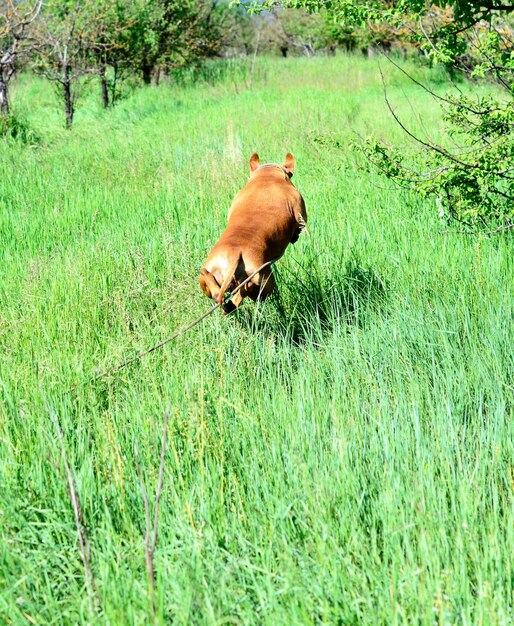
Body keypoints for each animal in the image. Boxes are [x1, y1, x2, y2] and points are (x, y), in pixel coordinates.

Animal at [199, 151, 304, 312]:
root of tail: (234, 253)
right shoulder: (299, 209)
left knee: (222, 297)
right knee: (247, 292)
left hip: (211, 272)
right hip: (265, 280)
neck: (267, 176)